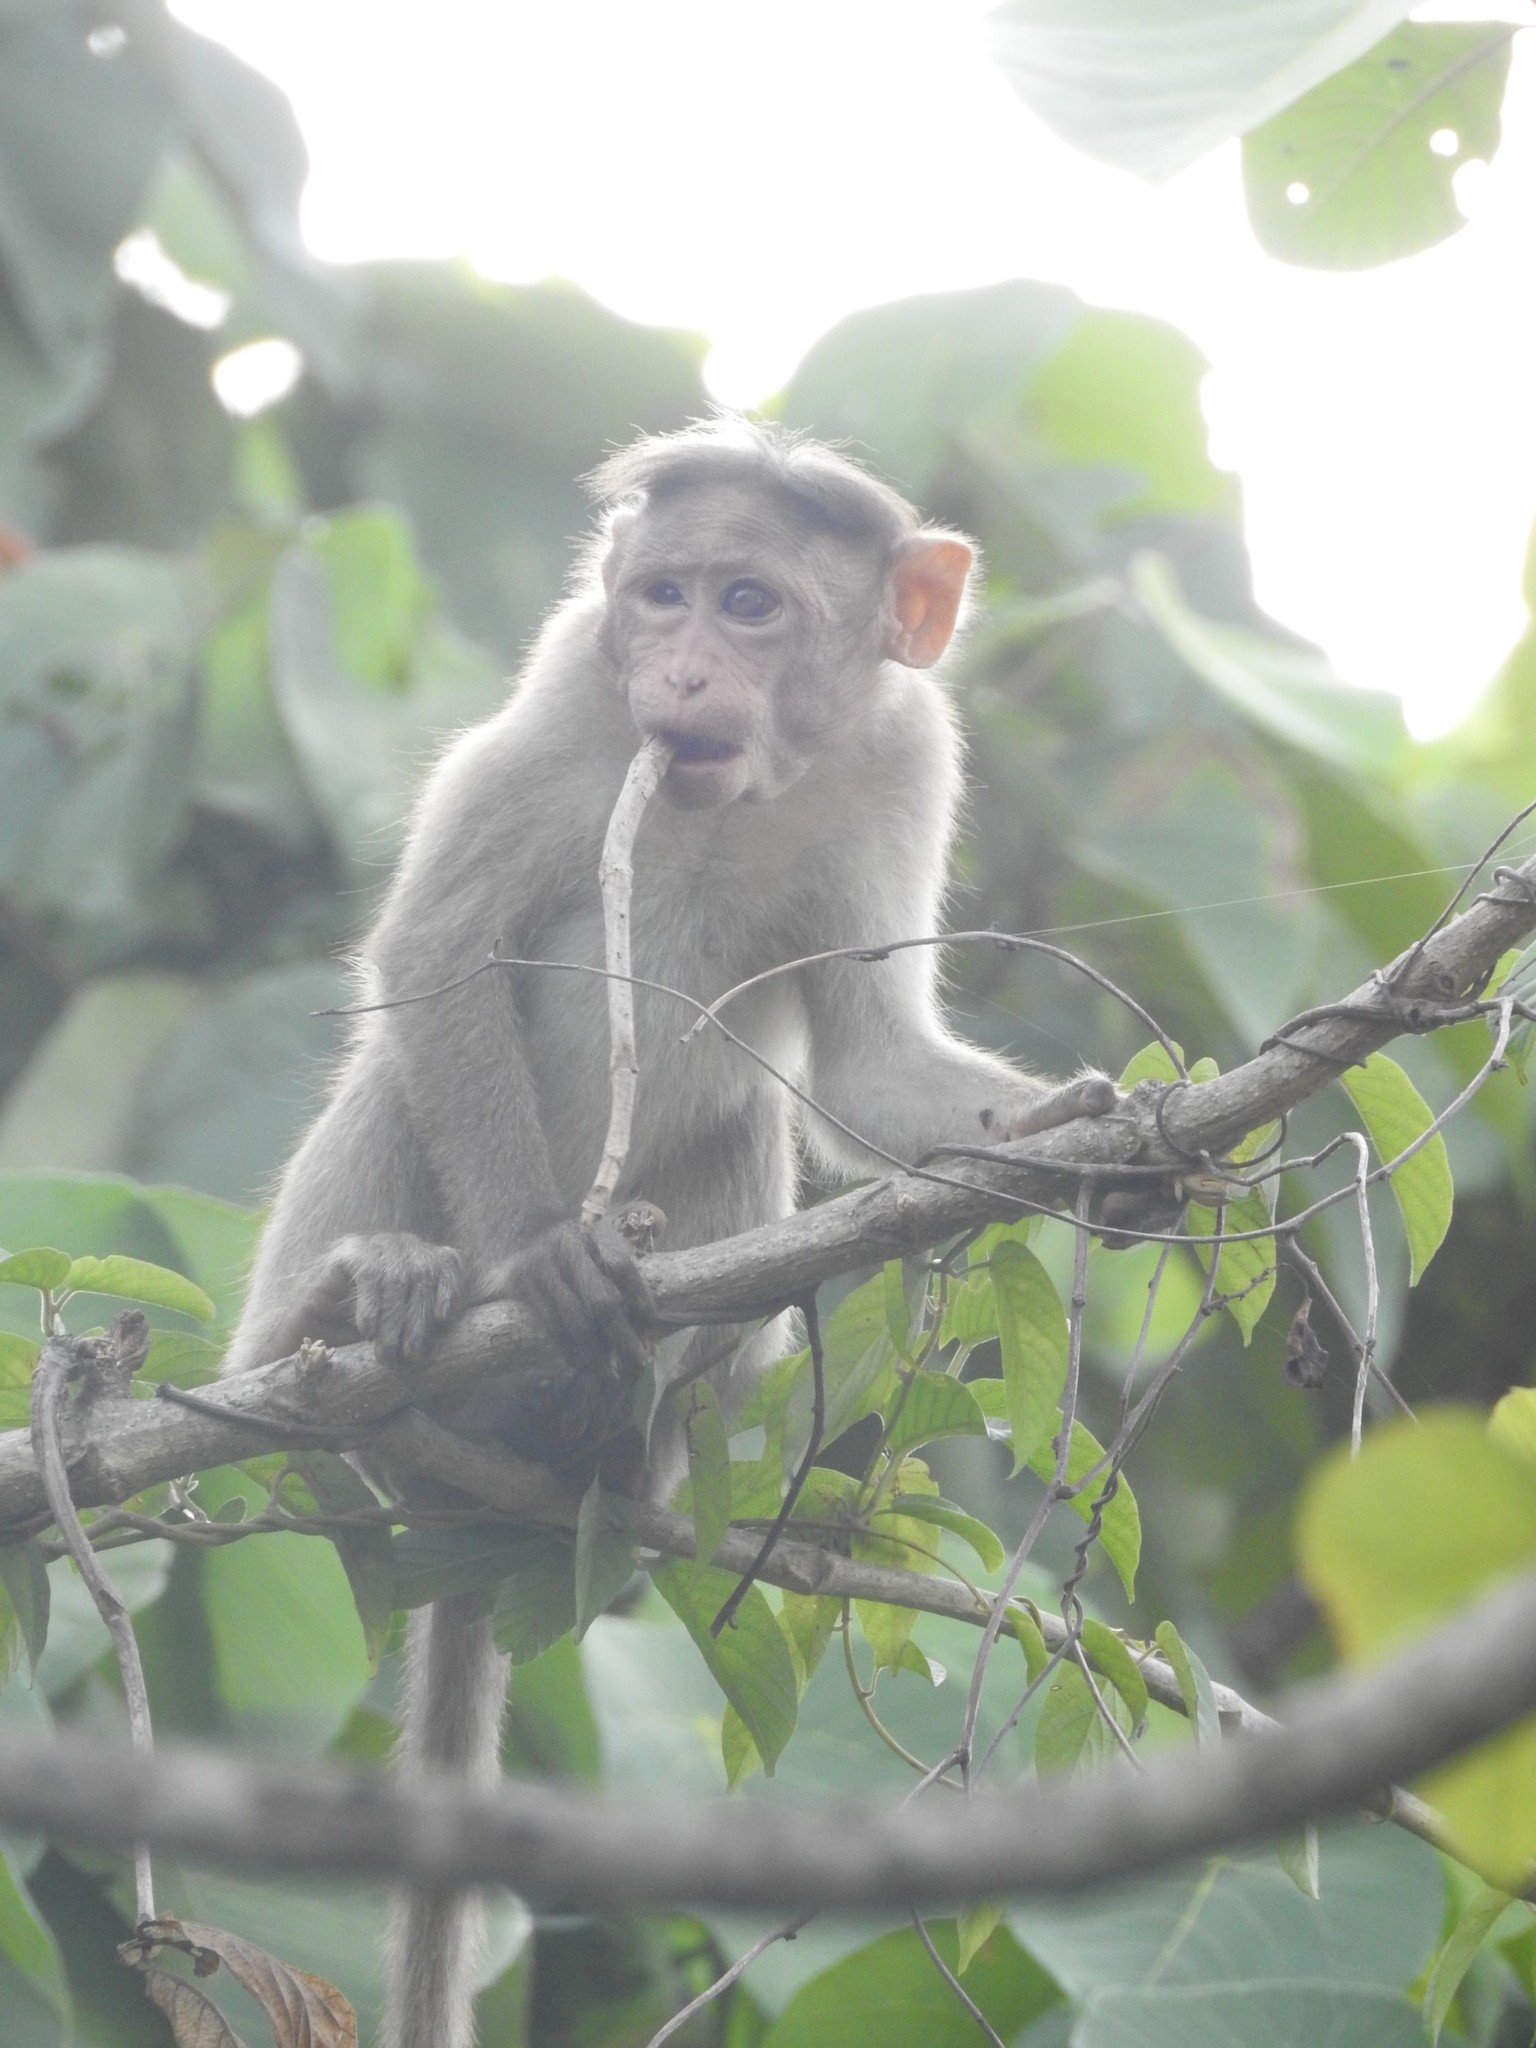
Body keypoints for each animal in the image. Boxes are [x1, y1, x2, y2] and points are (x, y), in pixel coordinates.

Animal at [221, 419, 1122, 2048]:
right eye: (662, 597)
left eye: (749, 605)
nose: (682, 673)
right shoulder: (574, 691)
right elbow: (439, 949)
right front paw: (534, 1251)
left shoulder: (908, 751)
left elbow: (871, 1067)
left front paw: (1097, 1138)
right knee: (396, 1061)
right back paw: (339, 1323)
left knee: (746, 1126)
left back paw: (613, 1436)